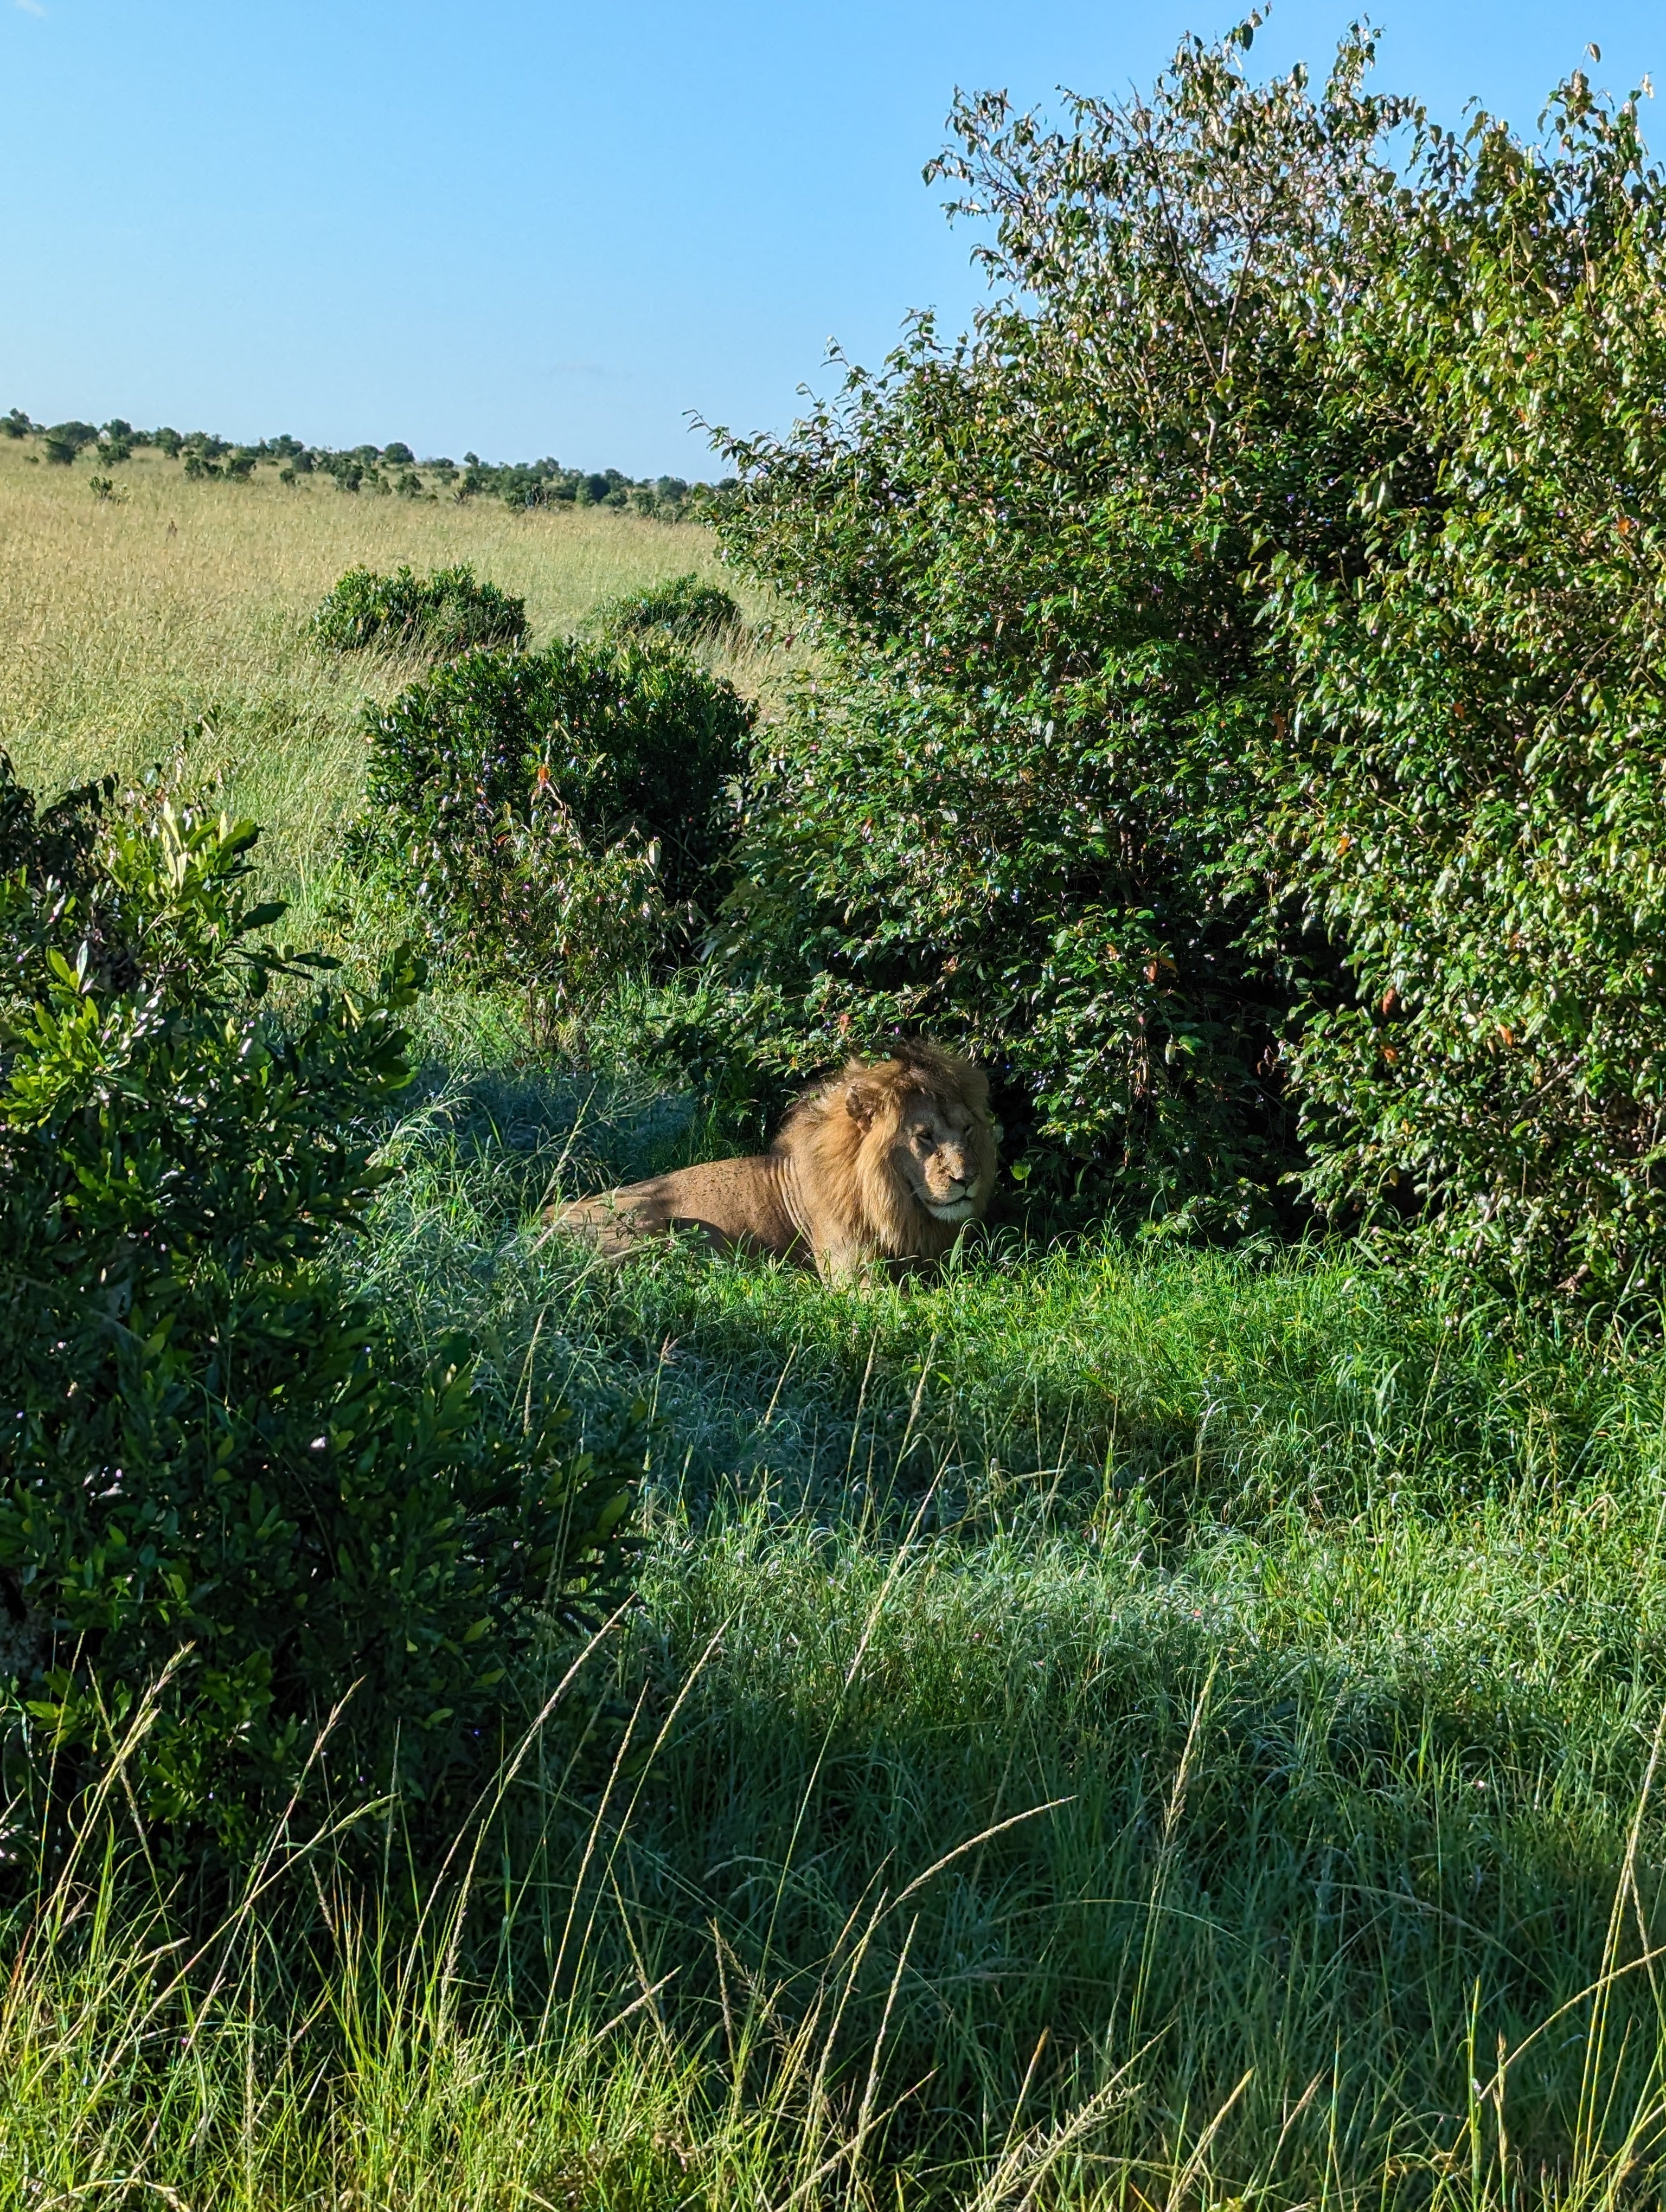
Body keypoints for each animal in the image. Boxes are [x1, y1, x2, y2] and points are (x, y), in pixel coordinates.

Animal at [546, 1039, 995, 1291]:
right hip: (647, 1225)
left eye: (968, 1129)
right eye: (925, 1135)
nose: (968, 1179)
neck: (900, 1206)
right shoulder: (855, 1279)